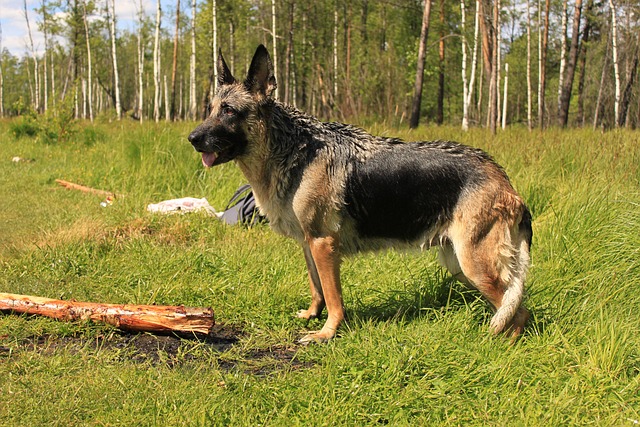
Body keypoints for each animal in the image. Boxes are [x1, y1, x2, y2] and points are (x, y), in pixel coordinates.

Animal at [188, 46, 532, 344]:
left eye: (229, 111)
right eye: (211, 110)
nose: (192, 138)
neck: (294, 150)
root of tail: (504, 180)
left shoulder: (324, 245)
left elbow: (334, 297)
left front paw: (326, 333)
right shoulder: (308, 244)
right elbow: (317, 289)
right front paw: (312, 315)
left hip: (474, 266)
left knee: (518, 312)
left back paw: (502, 348)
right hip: (458, 265)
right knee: (512, 306)